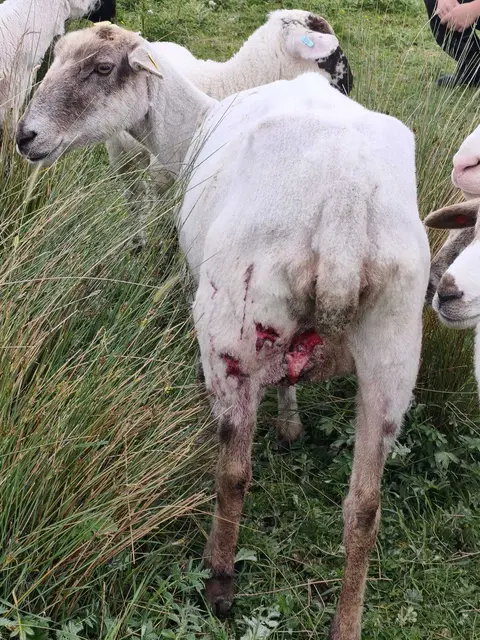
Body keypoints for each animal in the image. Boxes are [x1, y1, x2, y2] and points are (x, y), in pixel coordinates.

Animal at [106, 9, 354, 253]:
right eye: (330, 53)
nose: (350, 83)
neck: (232, 81)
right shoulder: (163, 174)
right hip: (121, 155)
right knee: (134, 195)